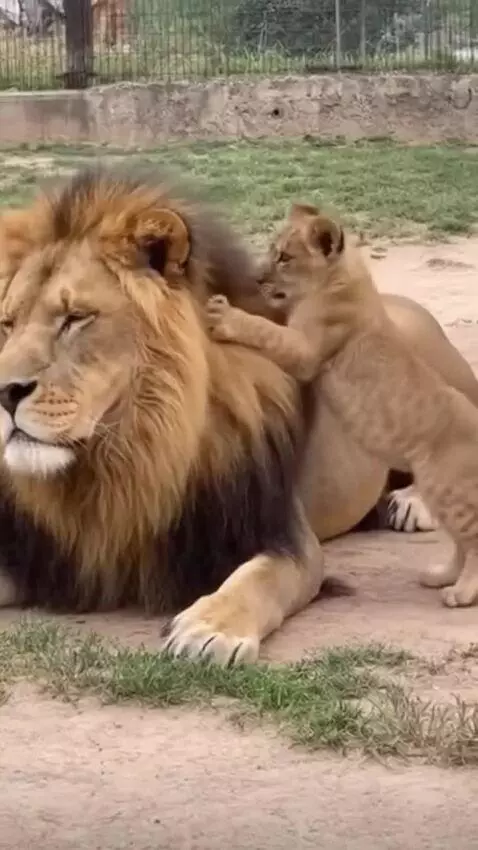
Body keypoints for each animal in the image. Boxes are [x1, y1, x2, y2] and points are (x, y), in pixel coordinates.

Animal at [207, 203, 478, 607]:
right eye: (271, 249)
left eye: (284, 257)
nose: (255, 278)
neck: (345, 277)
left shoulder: (307, 349)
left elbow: (264, 331)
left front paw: (225, 315)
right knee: (460, 541)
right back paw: (439, 577)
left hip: (447, 488)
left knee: (472, 538)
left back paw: (460, 591)